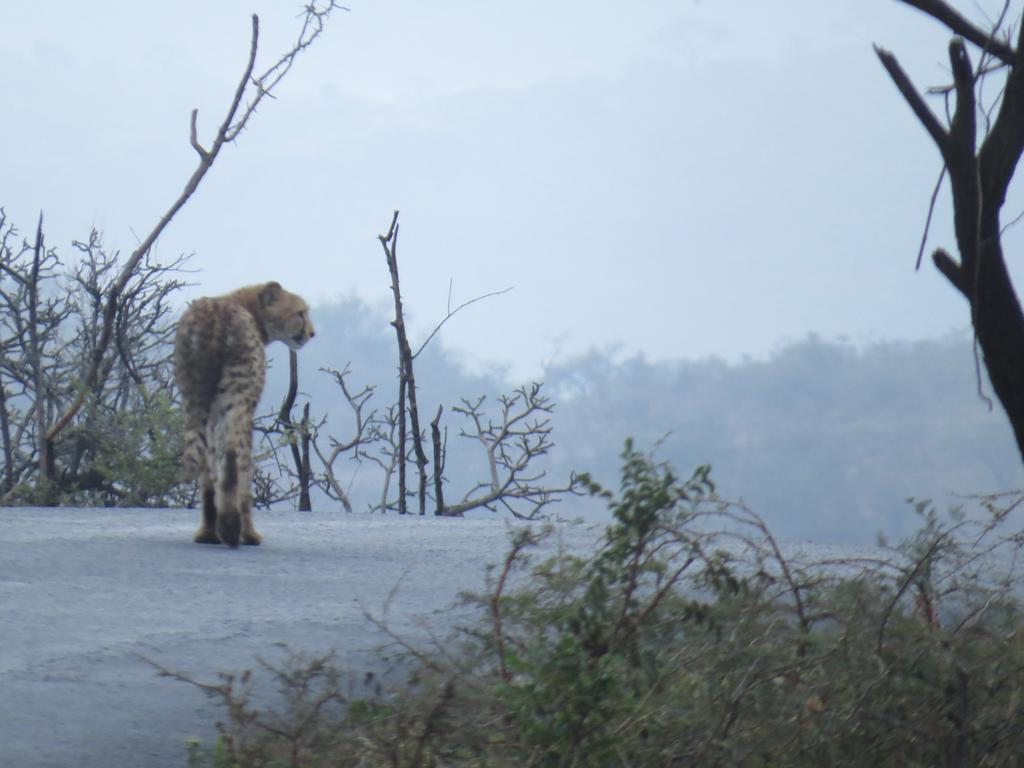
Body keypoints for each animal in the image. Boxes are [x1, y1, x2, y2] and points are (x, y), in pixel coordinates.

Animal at [174, 282, 313, 548]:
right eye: (300, 313)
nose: (311, 333)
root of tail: (213, 316)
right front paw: (248, 533)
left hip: (194, 399)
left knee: (207, 469)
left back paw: (208, 533)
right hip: (238, 400)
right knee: (232, 460)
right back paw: (236, 529)